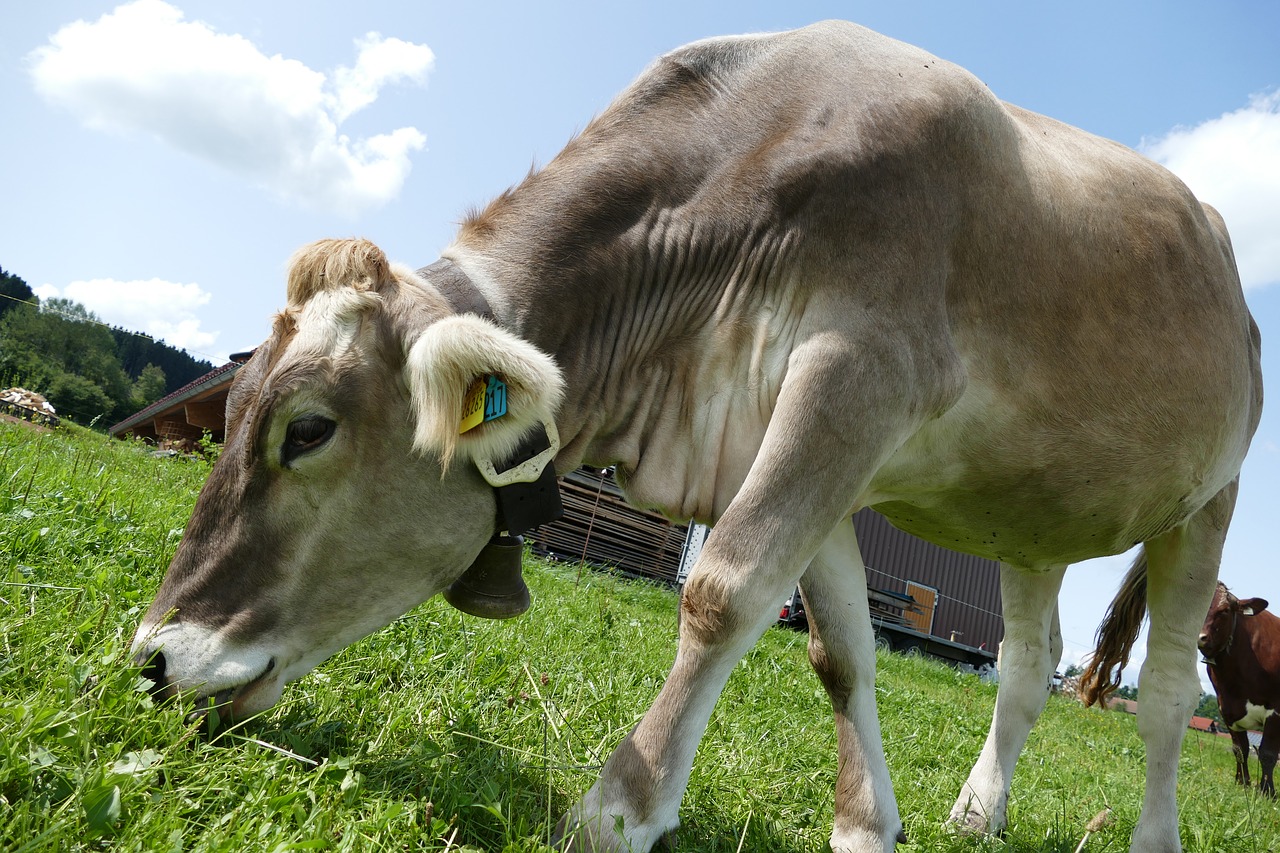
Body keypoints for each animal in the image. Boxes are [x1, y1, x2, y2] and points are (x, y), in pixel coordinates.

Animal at [129, 19, 1259, 850]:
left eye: (307, 430)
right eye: (232, 408)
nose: (151, 658)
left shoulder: (855, 378)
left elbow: (723, 590)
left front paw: (618, 807)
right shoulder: (797, 447)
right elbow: (840, 651)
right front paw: (866, 825)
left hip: (1210, 499)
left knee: (1165, 694)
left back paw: (1152, 834)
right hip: (1028, 523)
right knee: (1029, 664)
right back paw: (978, 813)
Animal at [1192, 581, 1274, 794]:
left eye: (1224, 610)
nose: (1199, 637)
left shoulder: (1276, 710)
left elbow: (1268, 753)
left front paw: (1267, 791)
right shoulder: (1227, 708)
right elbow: (1239, 749)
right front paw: (1242, 782)